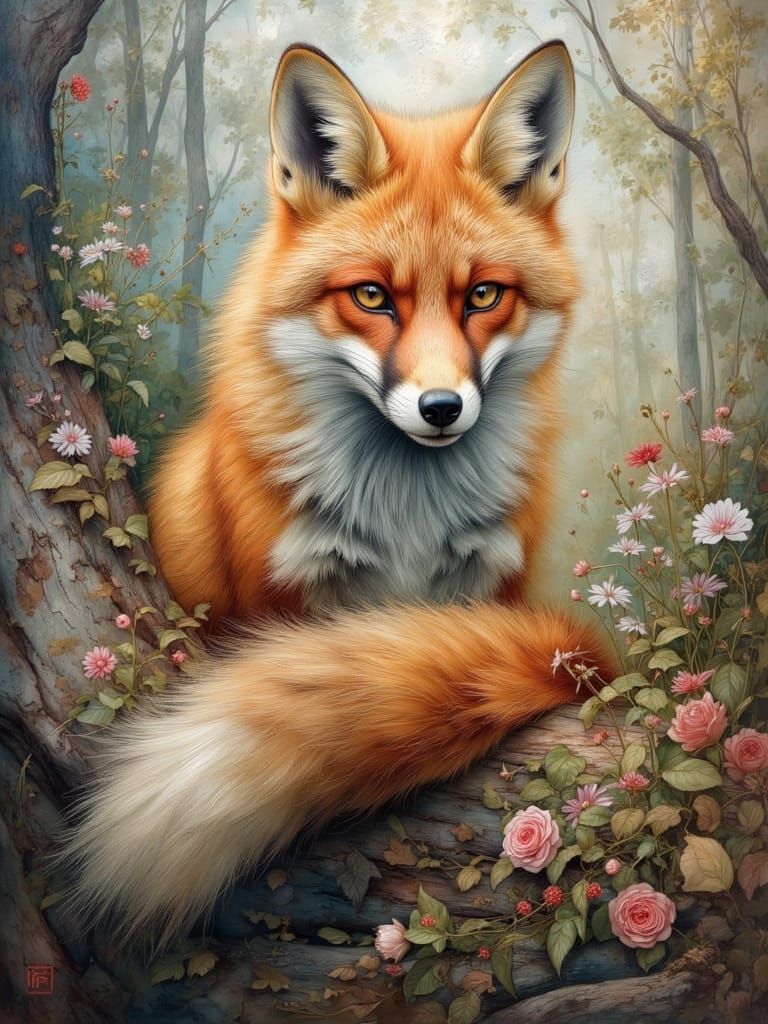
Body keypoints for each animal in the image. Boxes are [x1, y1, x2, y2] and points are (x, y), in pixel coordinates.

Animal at [60, 40, 618, 945]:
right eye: (371, 296)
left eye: (483, 295)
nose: (440, 408)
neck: (408, 514)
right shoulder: (282, 599)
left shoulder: (485, 588)